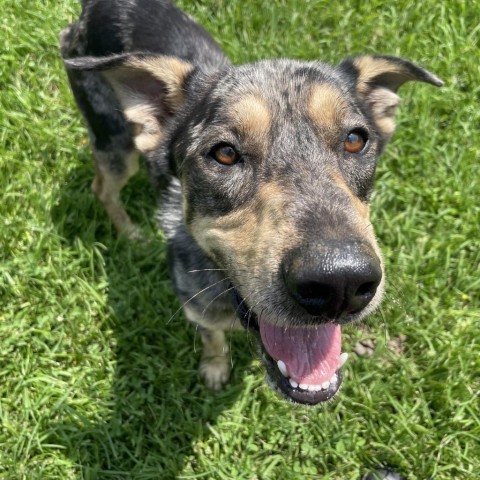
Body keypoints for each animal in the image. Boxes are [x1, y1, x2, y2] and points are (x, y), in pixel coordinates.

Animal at [60, 0, 442, 404]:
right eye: (224, 153)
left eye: (355, 140)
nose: (340, 282)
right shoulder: (197, 310)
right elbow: (212, 339)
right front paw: (215, 368)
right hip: (116, 142)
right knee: (102, 186)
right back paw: (129, 232)